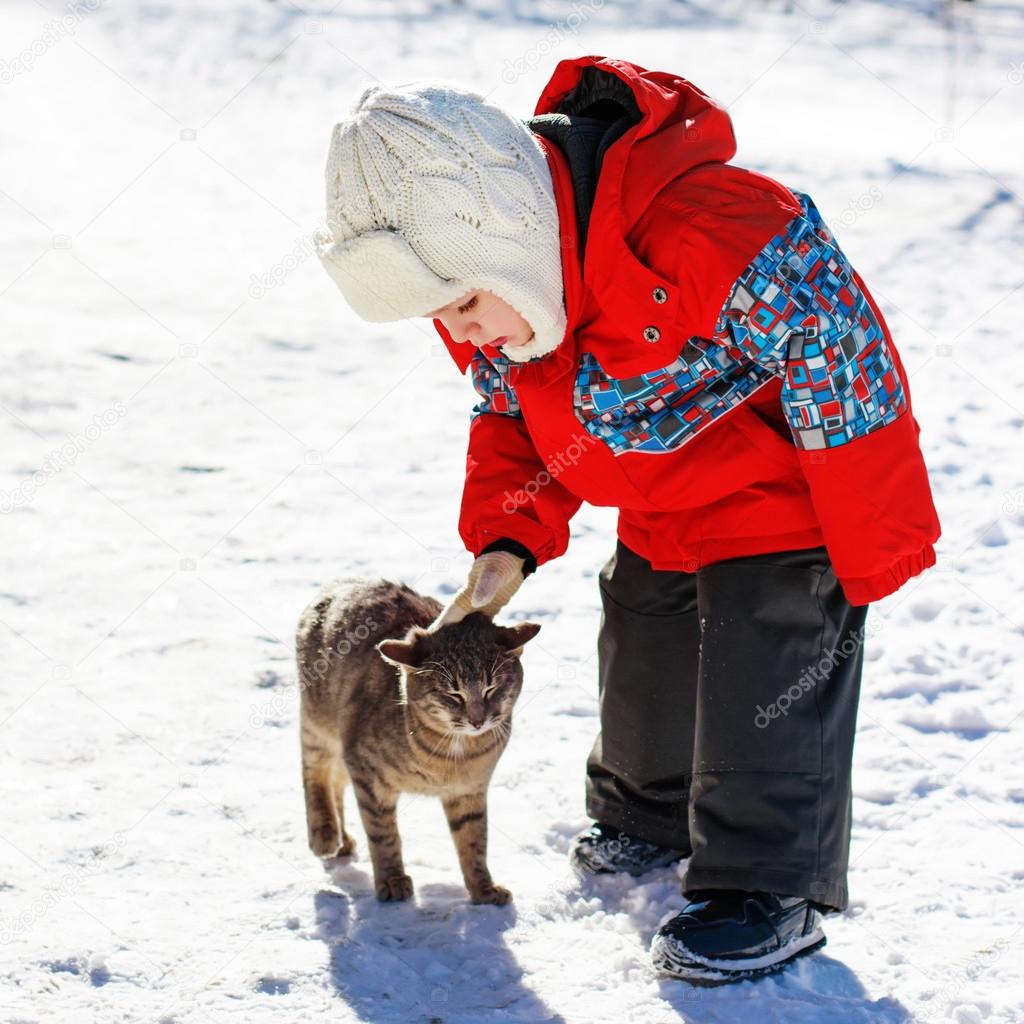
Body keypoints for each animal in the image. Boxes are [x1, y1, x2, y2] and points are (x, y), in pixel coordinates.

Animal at [292, 577, 540, 905]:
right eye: (453, 694)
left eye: (492, 688)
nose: (478, 720)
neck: (452, 753)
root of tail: (342, 582)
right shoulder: (366, 772)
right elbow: (383, 835)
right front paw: (392, 880)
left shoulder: (469, 792)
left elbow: (474, 842)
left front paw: (483, 889)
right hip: (319, 720)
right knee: (315, 772)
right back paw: (325, 835)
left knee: (335, 781)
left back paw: (342, 841)